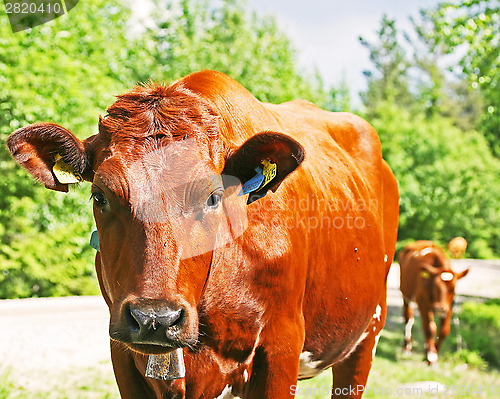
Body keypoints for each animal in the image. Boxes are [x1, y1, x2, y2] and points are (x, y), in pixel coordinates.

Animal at [6, 70, 398, 398]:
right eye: (100, 195)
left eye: (213, 196)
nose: (155, 318)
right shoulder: (123, 354)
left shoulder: (281, 347)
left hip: (367, 333)